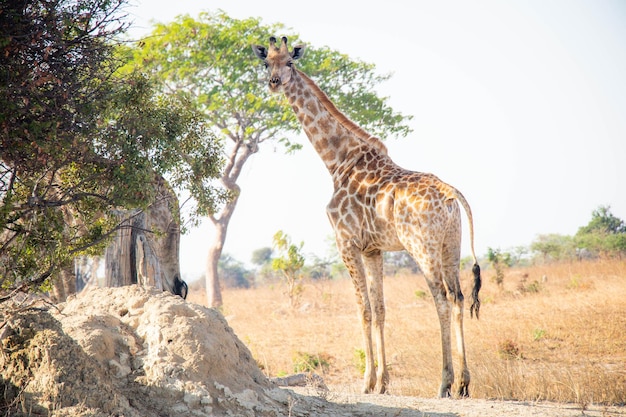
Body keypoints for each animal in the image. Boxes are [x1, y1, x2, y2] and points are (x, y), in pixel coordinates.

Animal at [251, 36, 480, 396]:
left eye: (289, 62)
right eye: (266, 63)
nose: (274, 82)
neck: (337, 161)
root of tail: (451, 193)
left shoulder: (346, 242)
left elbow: (364, 310)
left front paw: (367, 382)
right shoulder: (373, 249)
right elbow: (381, 309)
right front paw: (382, 382)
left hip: (422, 248)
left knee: (441, 299)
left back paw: (444, 383)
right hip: (450, 246)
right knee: (458, 298)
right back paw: (463, 384)